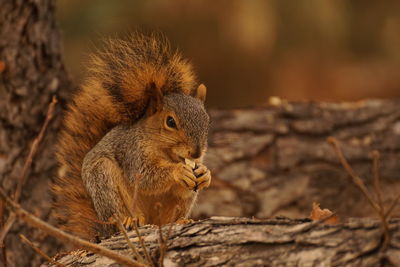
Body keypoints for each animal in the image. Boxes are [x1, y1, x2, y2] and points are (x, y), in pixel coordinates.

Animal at [51, 33, 211, 241]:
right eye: (170, 122)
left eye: (207, 120)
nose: (196, 152)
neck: (166, 152)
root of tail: (101, 230)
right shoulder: (132, 153)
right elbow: (145, 176)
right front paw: (178, 171)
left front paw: (205, 173)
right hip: (104, 180)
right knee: (117, 216)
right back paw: (129, 220)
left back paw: (180, 220)